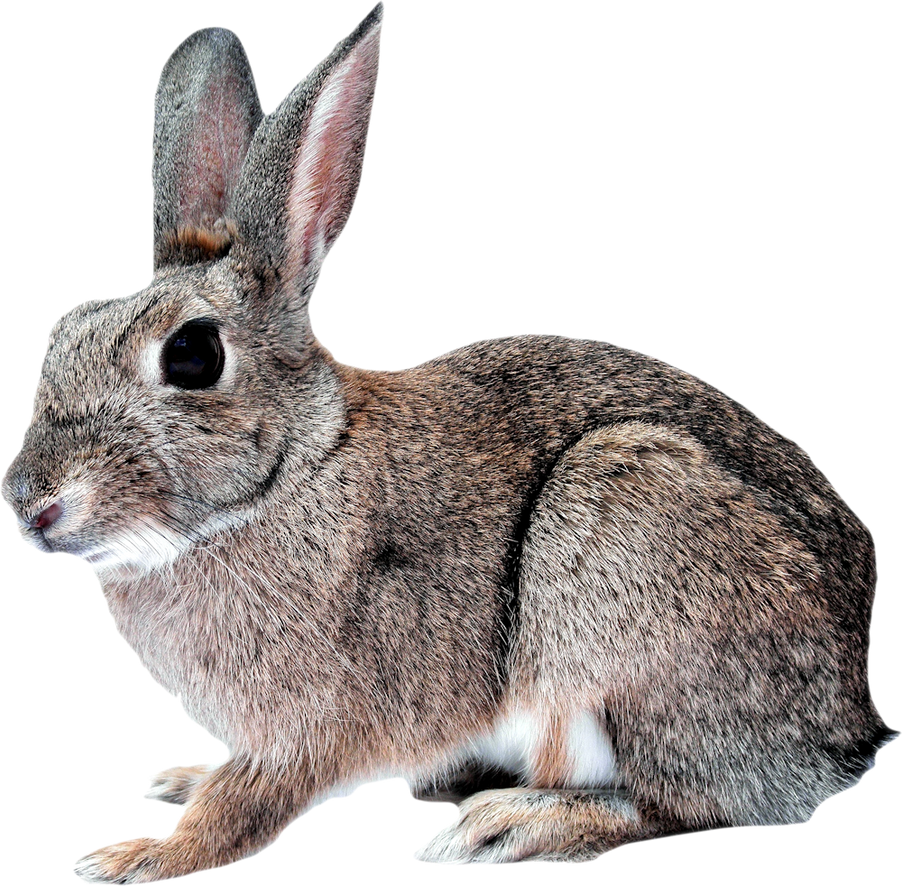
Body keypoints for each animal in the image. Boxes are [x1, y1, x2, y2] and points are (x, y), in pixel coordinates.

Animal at [0, 2, 895, 881]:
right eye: (61, 330)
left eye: (192, 355)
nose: (28, 503)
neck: (293, 475)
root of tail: (850, 724)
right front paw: (183, 780)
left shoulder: (313, 726)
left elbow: (244, 809)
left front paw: (139, 855)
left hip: (626, 541)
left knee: (687, 804)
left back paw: (508, 826)